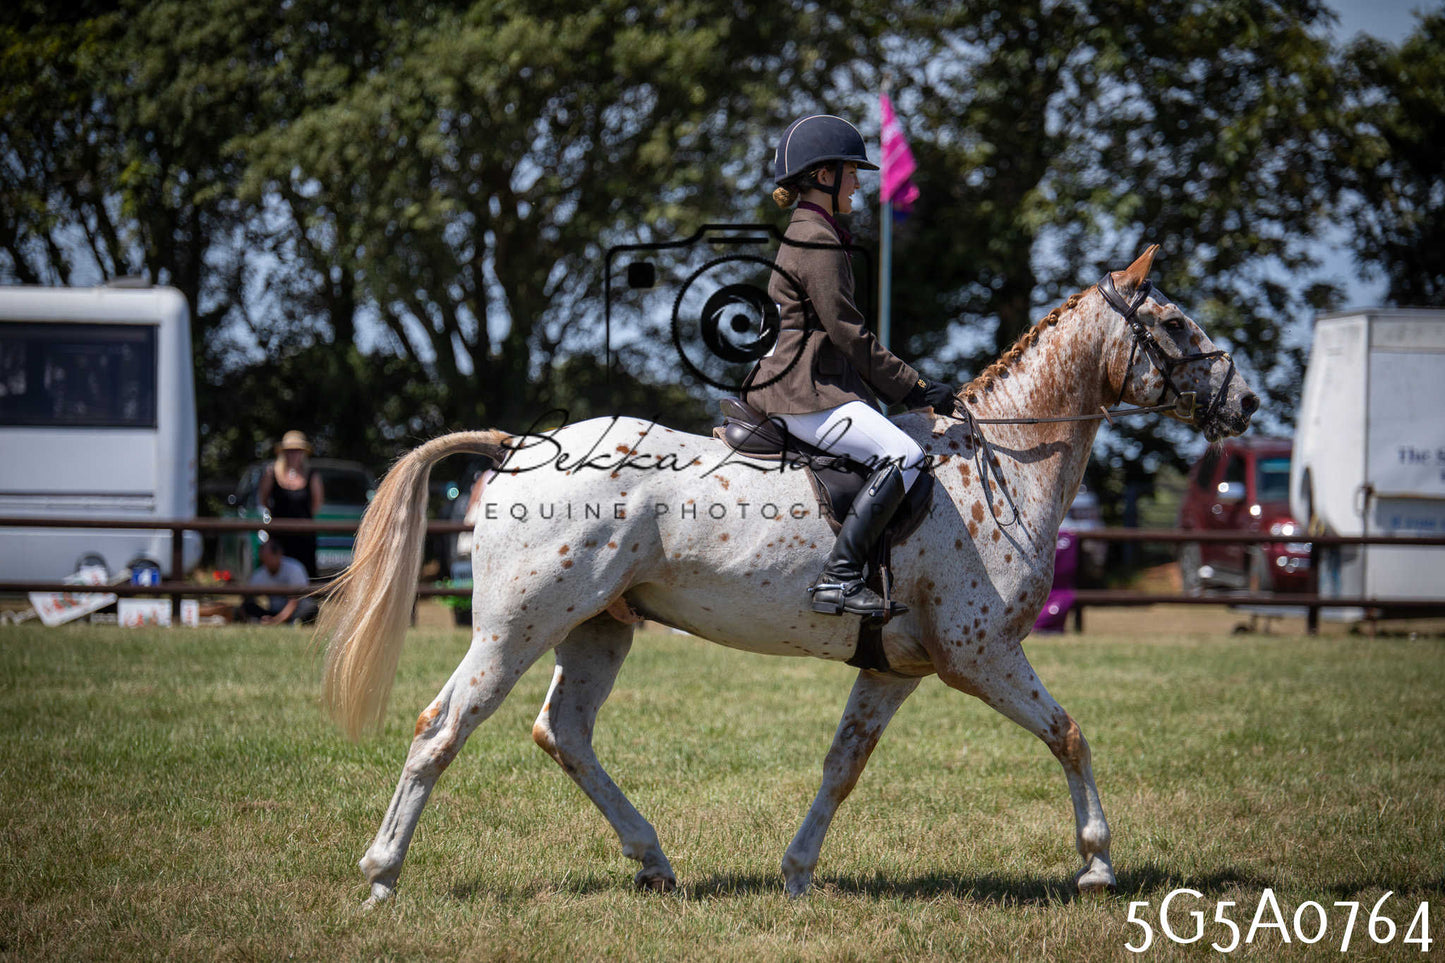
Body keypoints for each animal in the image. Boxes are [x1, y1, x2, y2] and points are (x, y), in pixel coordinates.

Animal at [320, 246, 1258, 906]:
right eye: (1174, 325)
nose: (1246, 403)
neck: (995, 465)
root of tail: (522, 445)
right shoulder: (979, 654)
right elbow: (1068, 733)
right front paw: (1097, 863)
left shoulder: (895, 668)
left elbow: (841, 766)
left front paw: (798, 871)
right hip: (515, 628)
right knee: (441, 728)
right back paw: (381, 873)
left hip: (598, 627)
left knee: (565, 732)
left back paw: (653, 859)